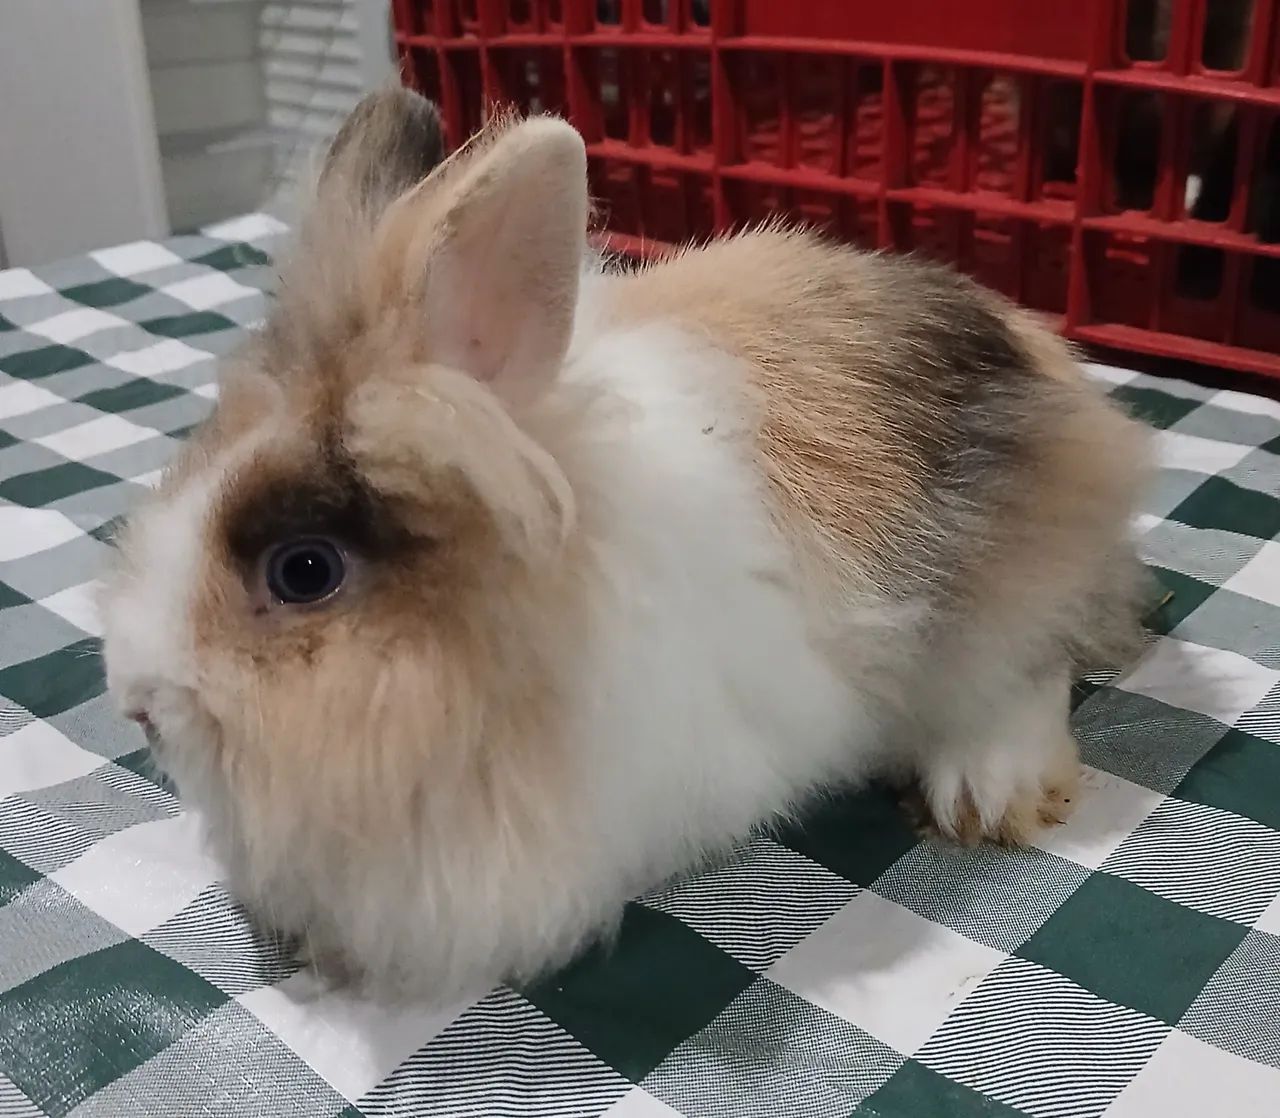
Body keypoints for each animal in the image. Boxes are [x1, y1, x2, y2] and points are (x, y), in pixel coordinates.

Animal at [101, 86, 1149, 1001]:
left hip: (1009, 587)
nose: (137, 705)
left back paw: (984, 795)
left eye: (304, 571)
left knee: (1035, 666)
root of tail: (1063, 373)